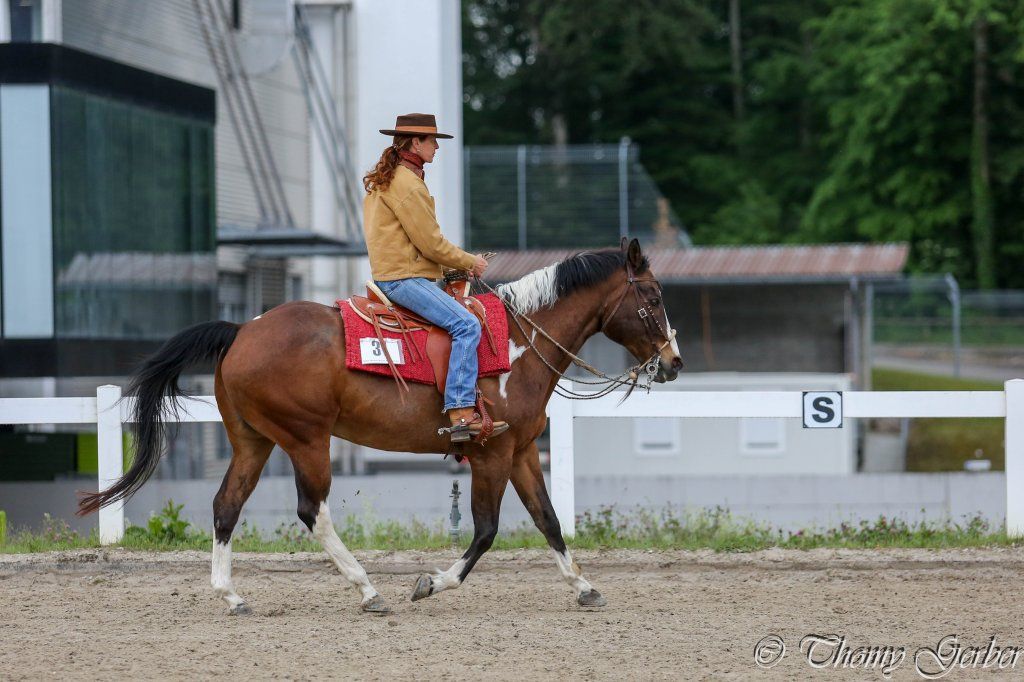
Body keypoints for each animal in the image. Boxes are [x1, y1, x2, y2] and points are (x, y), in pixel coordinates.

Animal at [78, 238, 683, 615]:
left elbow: (550, 521)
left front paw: (584, 585)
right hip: (306, 439)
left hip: (254, 441)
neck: (517, 343)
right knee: (312, 510)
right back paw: (367, 590)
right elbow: (486, 531)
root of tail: (241, 331)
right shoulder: (490, 454)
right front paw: (432, 582)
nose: (673, 362)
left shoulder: (523, 451)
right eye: (653, 296)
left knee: (227, 505)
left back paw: (232, 596)